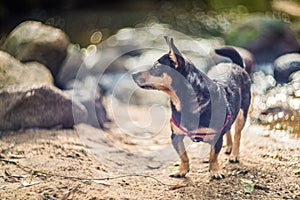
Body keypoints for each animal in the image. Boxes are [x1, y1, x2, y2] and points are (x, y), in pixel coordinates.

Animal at [131, 36, 251, 179]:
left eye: (156, 67)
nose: (133, 74)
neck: (184, 103)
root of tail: (236, 65)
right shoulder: (176, 136)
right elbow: (183, 156)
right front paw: (182, 170)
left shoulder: (216, 138)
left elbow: (213, 156)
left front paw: (215, 171)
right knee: (228, 129)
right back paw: (228, 147)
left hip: (242, 115)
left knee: (237, 133)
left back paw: (234, 154)